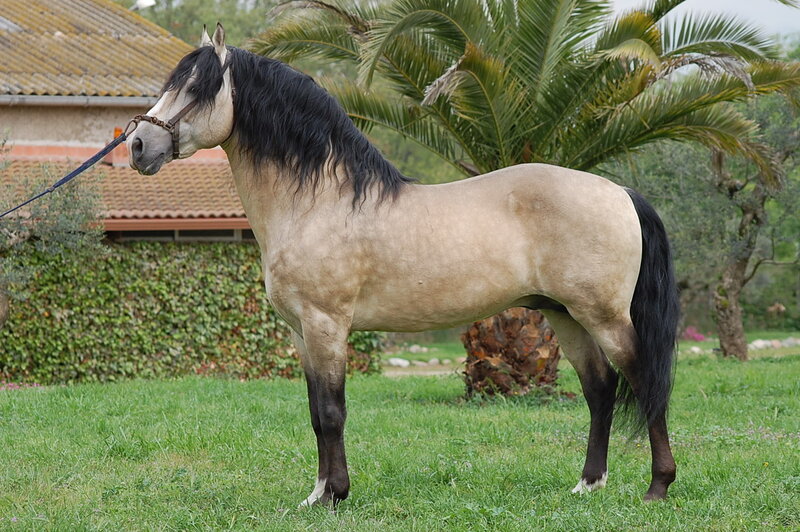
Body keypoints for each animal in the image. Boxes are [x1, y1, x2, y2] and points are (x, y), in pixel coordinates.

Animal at [127, 24, 680, 506]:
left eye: (195, 88)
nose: (137, 146)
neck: (318, 201)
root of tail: (619, 192)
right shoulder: (301, 334)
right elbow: (315, 413)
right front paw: (316, 495)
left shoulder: (327, 326)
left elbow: (332, 411)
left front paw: (336, 495)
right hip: (564, 315)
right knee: (600, 389)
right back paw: (588, 485)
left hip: (604, 316)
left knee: (645, 382)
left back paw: (658, 486)